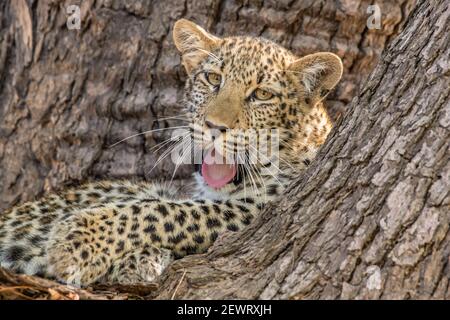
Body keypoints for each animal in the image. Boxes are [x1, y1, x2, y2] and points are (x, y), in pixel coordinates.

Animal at [0, 18, 342, 286]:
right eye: (213, 79)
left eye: (262, 95)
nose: (214, 126)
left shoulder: (258, 208)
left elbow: (163, 213)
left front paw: (78, 242)